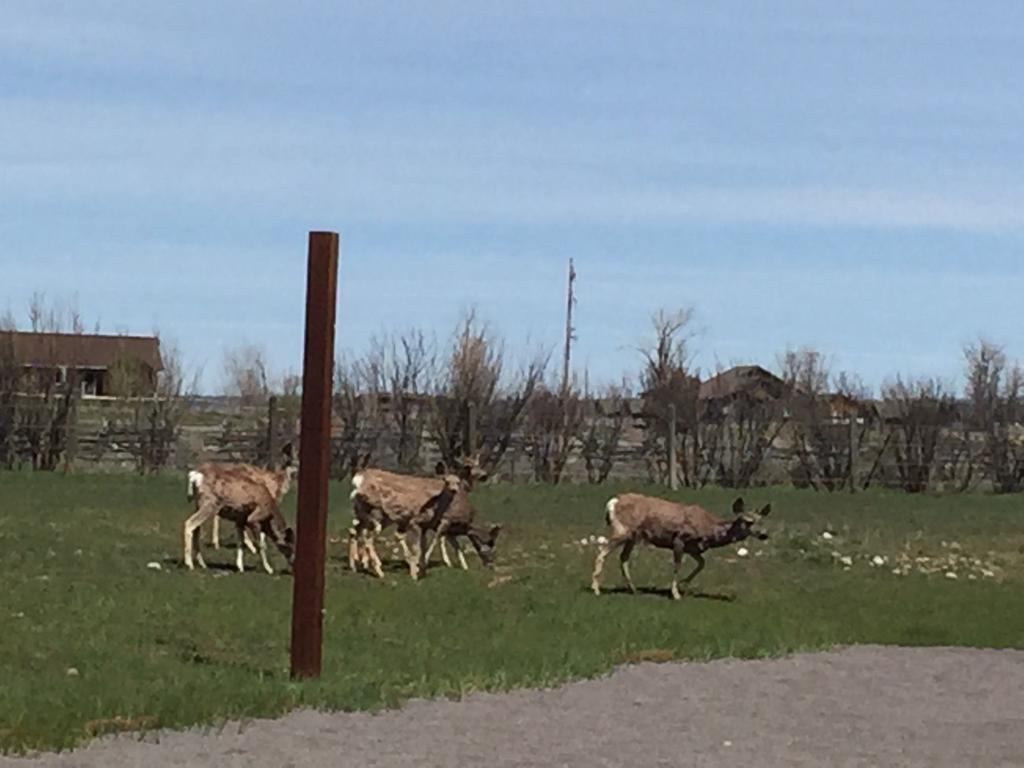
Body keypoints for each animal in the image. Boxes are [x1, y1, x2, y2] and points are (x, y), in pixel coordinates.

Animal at [593, 495, 770, 606]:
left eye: (761, 520)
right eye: (748, 521)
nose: (764, 534)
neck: (709, 530)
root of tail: (613, 502)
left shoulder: (693, 548)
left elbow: (702, 564)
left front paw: (684, 585)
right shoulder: (679, 540)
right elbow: (677, 565)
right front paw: (675, 593)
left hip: (632, 536)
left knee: (623, 557)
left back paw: (633, 589)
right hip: (622, 530)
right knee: (602, 550)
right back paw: (596, 589)